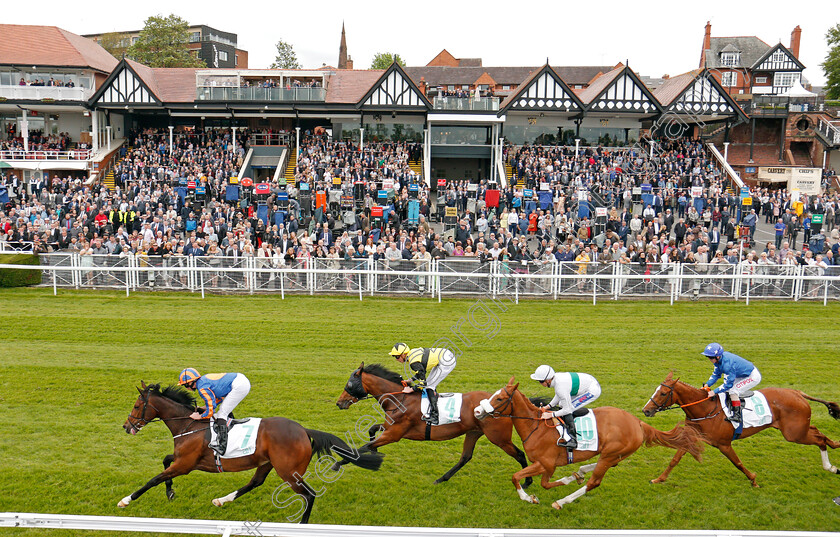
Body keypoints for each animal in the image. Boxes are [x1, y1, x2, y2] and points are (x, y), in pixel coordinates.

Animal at [121, 382, 384, 524]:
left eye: (136, 405)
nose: (126, 426)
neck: (188, 425)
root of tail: (303, 430)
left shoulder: (185, 465)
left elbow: (154, 479)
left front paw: (126, 500)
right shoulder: (184, 461)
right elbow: (165, 463)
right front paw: (171, 493)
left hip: (289, 472)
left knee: (309, 495)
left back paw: (302, 524)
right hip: (268, 462)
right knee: (255, 482)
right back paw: (222, 499)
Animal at [334, 364, 532, 486]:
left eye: (349, 384)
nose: (339, 403)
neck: (400, 398)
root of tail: (508, 402)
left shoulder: (394, 434)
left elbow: (363, 446)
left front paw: (338, 463)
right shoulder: (390, 427)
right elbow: (371, 431)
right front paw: (374, 452)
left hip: (499, 437)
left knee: (520, 454)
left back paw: (527, 481)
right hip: (474, 432)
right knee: (465, 457)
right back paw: (441, 479)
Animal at [472, 374, 704, 508]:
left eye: (500, 398)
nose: (477, 411)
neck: (535, 427)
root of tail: (637, 421)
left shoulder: (546, 463)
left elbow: (523, 478)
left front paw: (530, 497)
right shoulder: (546, 465)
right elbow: (536, 481)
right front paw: (570, 477)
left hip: (611, 452)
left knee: (595, 482)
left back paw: (563, 500)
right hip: (614, 453)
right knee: (606, 465)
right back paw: (580, 472)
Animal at [644, 372, 840, 486]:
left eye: (663, 393)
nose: (646, 410)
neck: (705, 409)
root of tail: (797, 393)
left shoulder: (723, 444)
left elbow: (737, 462)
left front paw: (753, 480)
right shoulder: (692, 436)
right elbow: (675, 459)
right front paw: (659, 479)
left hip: (794, 434)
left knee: (819, 439)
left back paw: (831, 465)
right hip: (798, 429)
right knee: (817, 431)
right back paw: (833, 454)